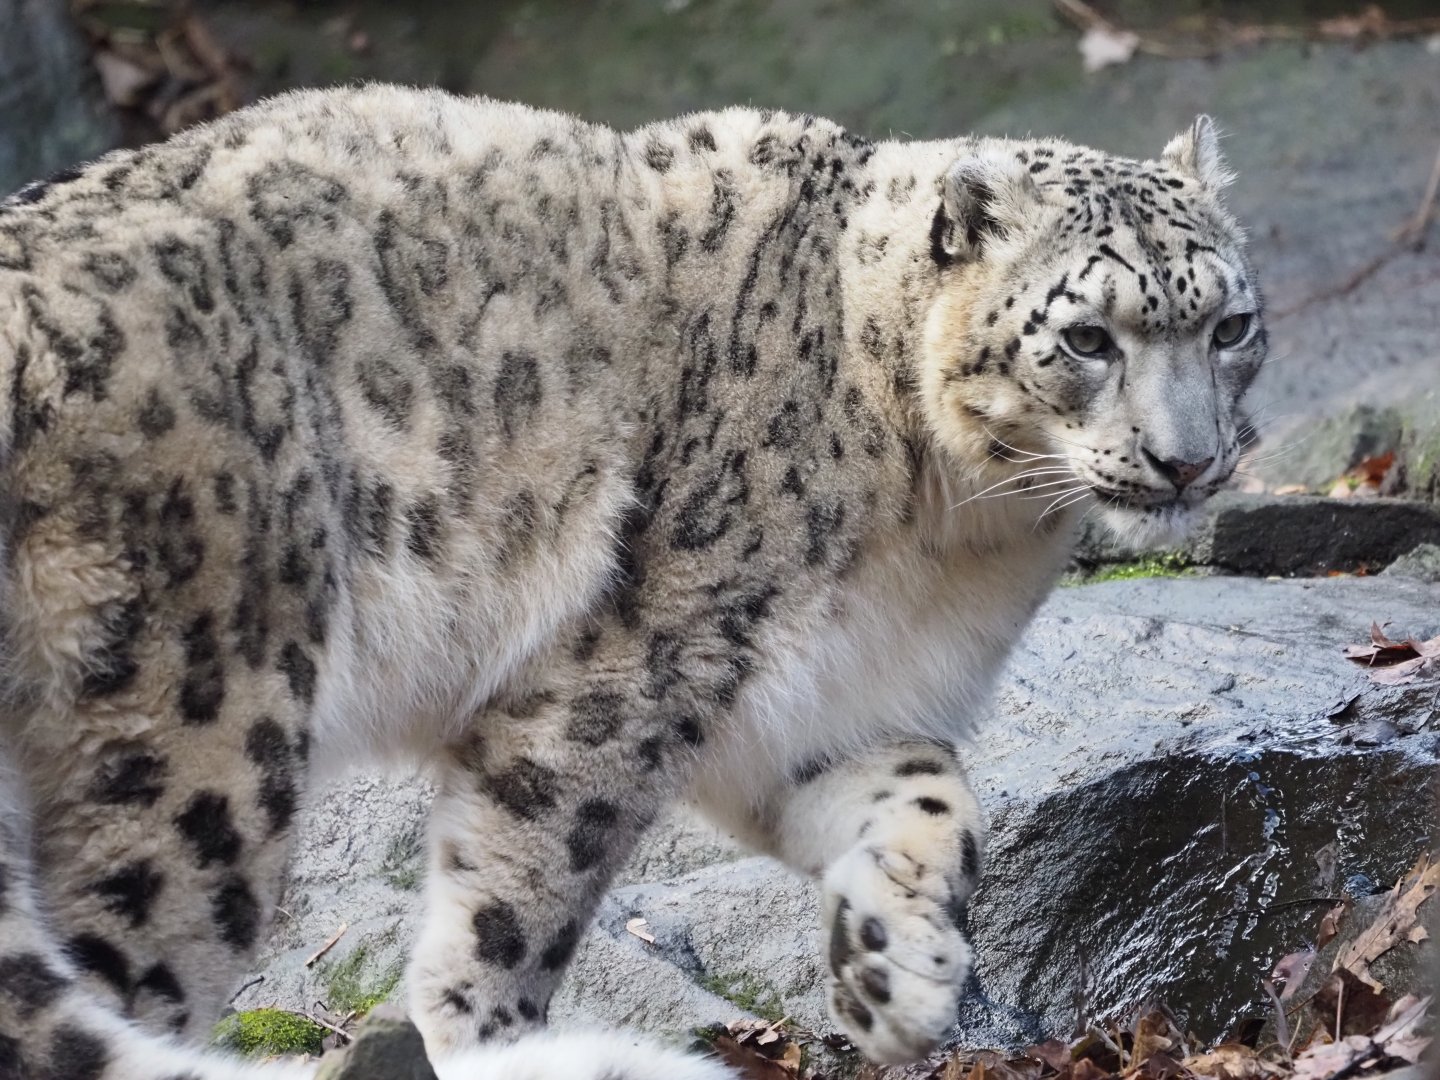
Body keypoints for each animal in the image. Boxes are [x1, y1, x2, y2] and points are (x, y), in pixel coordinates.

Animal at [0, 84, 1265, 1080]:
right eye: (1088, 337)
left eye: (1232, 325)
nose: (1189, 460)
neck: (958, 531)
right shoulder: (639, 669)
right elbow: (517, 893)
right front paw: (492, 1039)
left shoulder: (811, 708)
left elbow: (932, 792)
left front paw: (895, 974)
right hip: (202, 732)